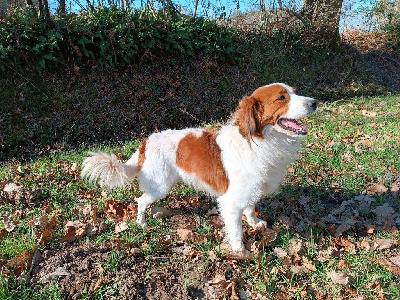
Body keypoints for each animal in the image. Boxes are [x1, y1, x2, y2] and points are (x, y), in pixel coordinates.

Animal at [82, 83, 318, 256]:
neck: (259, 141)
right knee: (140, 201)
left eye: (294, 92)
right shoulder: (231, 202)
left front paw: (255, 223)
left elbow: (251, 208)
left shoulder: (252, 189)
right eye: (282, 98)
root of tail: (146, 141)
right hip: (160, 186)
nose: (315, 102)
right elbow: (236, 231)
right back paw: (141, 223)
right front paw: (240, 252)